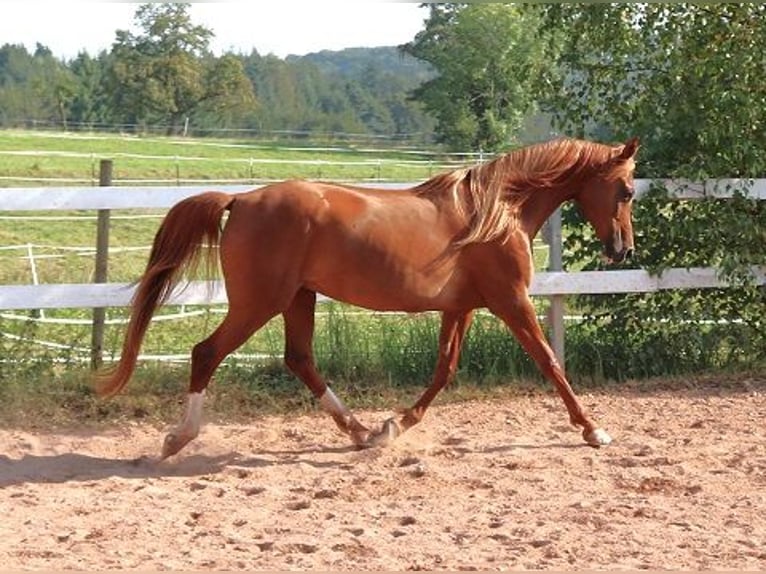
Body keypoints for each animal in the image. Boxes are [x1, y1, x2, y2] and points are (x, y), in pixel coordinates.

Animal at [97, 137, 640, 462]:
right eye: (627, 190)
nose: (623, 250)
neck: (498, 212)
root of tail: (242, 199)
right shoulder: (510, 300)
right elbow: (550, 362)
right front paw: (593, 430)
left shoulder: (460, 307)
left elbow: (443, 370)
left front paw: (394, 425)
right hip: (260, 302)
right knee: (207, 352)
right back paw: (177, 439)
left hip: (298, 298)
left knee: (299, 359)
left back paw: (359, 432)